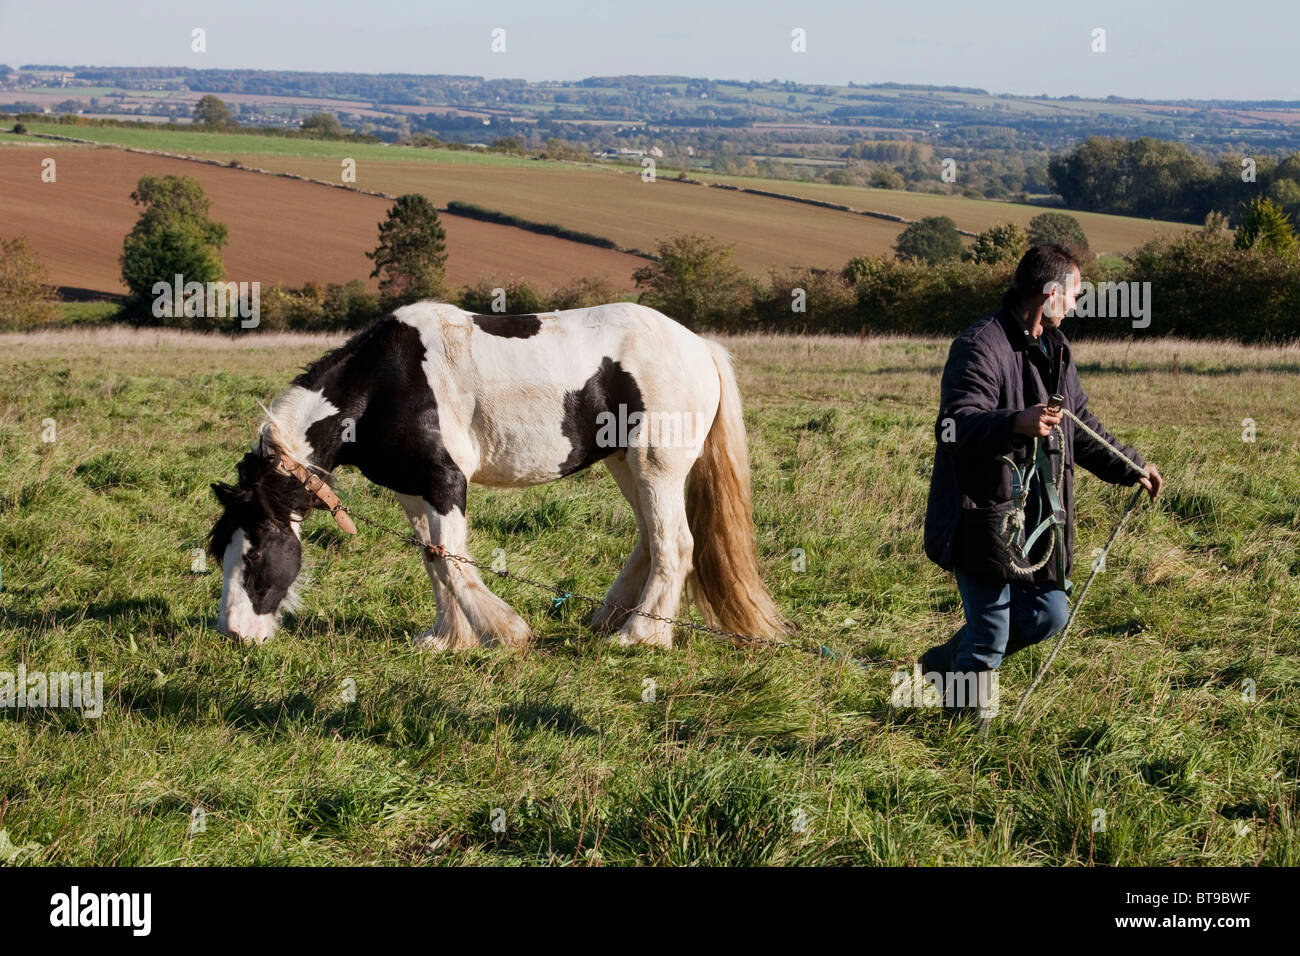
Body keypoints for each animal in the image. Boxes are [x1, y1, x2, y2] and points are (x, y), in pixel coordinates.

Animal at [208, 300, 787, 650]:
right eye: (222, 551)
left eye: (255, 552)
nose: (234, 633)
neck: (386, 384)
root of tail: (700, 346)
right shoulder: (413, 491)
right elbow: (434, 560)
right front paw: (446, 639)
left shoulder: (446, 483)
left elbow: (454, 562)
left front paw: (504, 632)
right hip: (626, 464)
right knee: (649, 538)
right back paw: (609, 619)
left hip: (656, 466)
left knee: (675, 544)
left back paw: (640, 635)